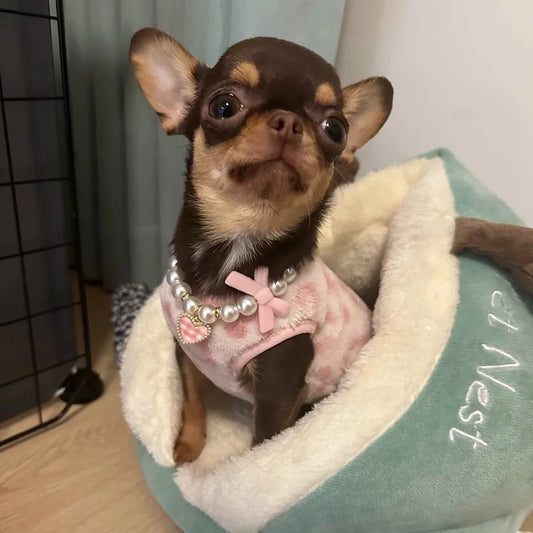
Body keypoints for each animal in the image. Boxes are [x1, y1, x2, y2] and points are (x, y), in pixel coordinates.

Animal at [131, 29, 392, 464]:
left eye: (335, 129)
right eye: (223, 106)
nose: (288, 121)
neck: (238, 238)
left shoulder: (278, 389)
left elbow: (263, 445)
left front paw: (239, 474)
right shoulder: (187, 355)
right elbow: (193, 401)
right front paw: (188, 447)